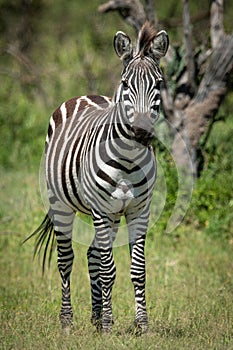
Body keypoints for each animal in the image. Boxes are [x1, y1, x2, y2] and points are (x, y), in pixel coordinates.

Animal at [25, 21, 167, 334]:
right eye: (126, 84)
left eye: (158, 84)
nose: (142, 133)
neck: (128, 160)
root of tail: (82, 96)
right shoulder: (102, 211)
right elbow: (108, 269)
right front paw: (110, 325)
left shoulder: (139, 211)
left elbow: (137, 270)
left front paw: (141, 325)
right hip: (62, 205)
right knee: (66, 260)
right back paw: (68, 320)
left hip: (108, 215)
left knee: (92, 253)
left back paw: (95, 317)